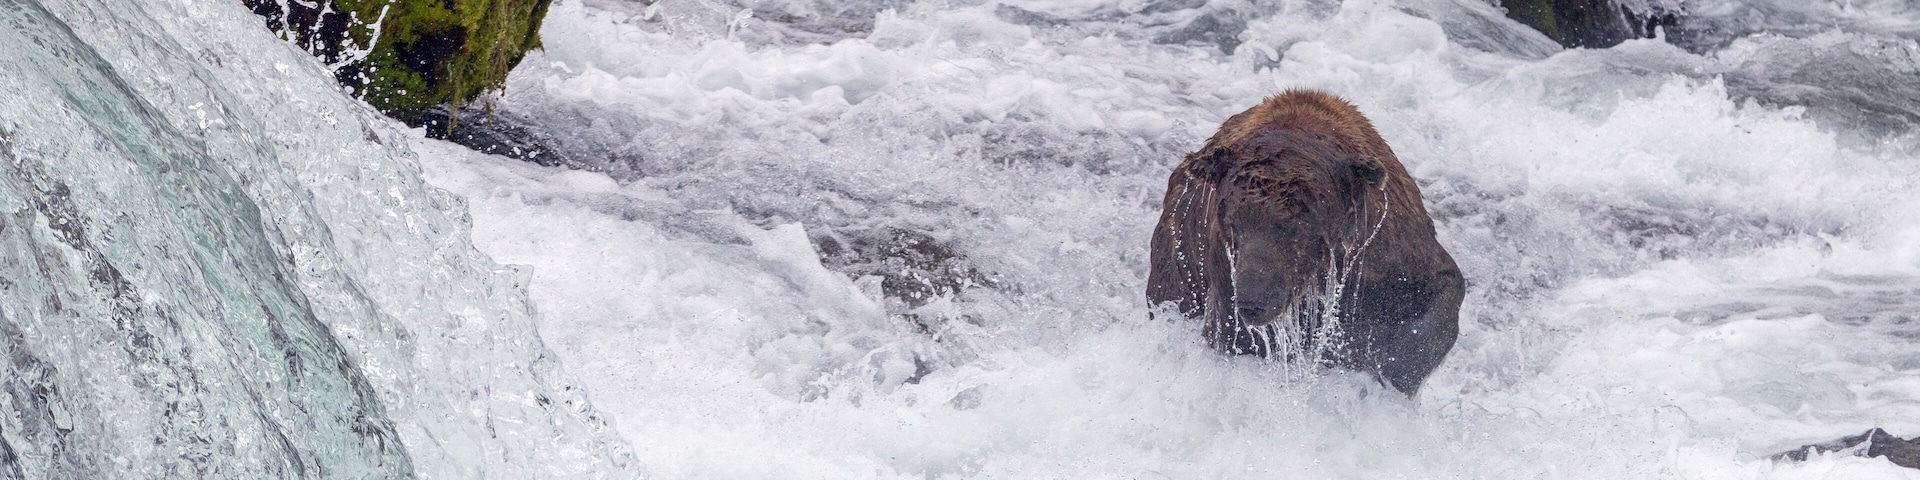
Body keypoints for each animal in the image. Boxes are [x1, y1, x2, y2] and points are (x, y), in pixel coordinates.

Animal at [1147, 89, 1464, 396]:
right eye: (1235, 225)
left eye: (1294, 228)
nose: (1252, 301)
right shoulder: (1222, 268)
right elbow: (1236, 336)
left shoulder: (1388, 248)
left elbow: (1437, 295)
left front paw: (1388, 363)